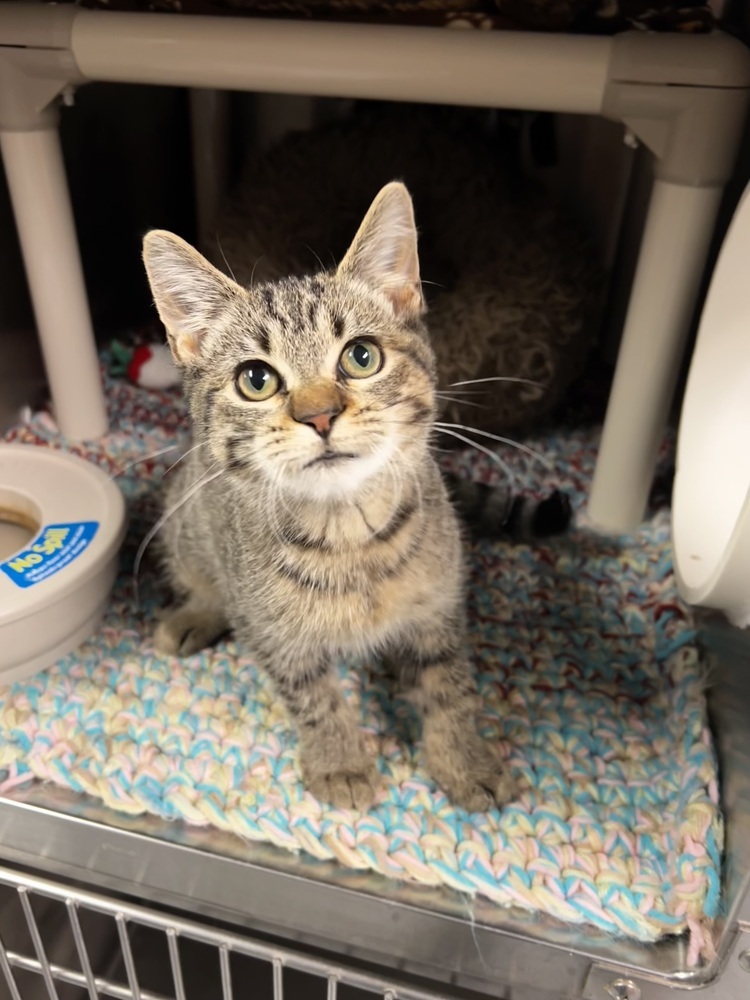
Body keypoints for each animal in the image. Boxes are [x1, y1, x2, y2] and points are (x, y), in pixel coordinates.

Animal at [142, 182, 516, 812]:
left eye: (361, 357)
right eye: (256, 379)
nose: (319, 415)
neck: (350, 538)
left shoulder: (438, 608)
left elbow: (449, 688)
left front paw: (462, 759)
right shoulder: (274, 637)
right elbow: (314, 701)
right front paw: (340, 762)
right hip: (187, 525)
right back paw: (193, 614)